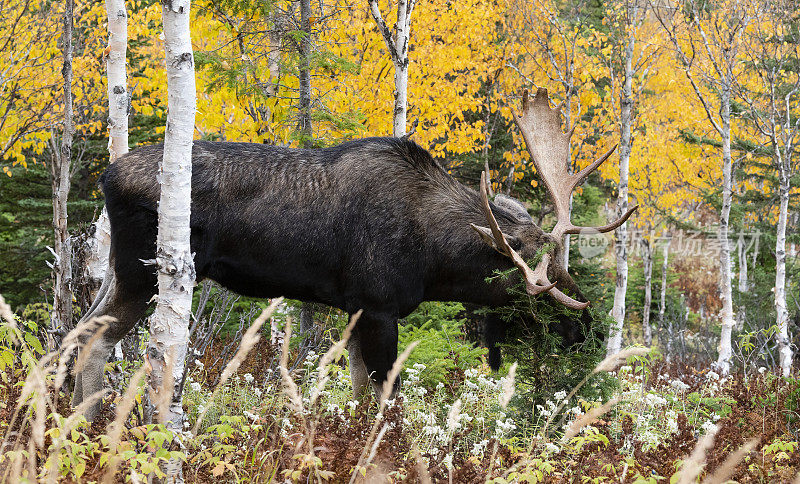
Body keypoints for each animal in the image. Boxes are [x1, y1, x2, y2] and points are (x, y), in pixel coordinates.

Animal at [72, 88, 636, 420]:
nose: (585, 326)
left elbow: (361, 394)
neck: (435, 259)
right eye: (534, 281)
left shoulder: (356, 309)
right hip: (145, 271)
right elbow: (388, 400)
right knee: (94, 340)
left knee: (78, 331)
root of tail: (106, 177)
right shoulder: (379, 305)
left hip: (120, 271)